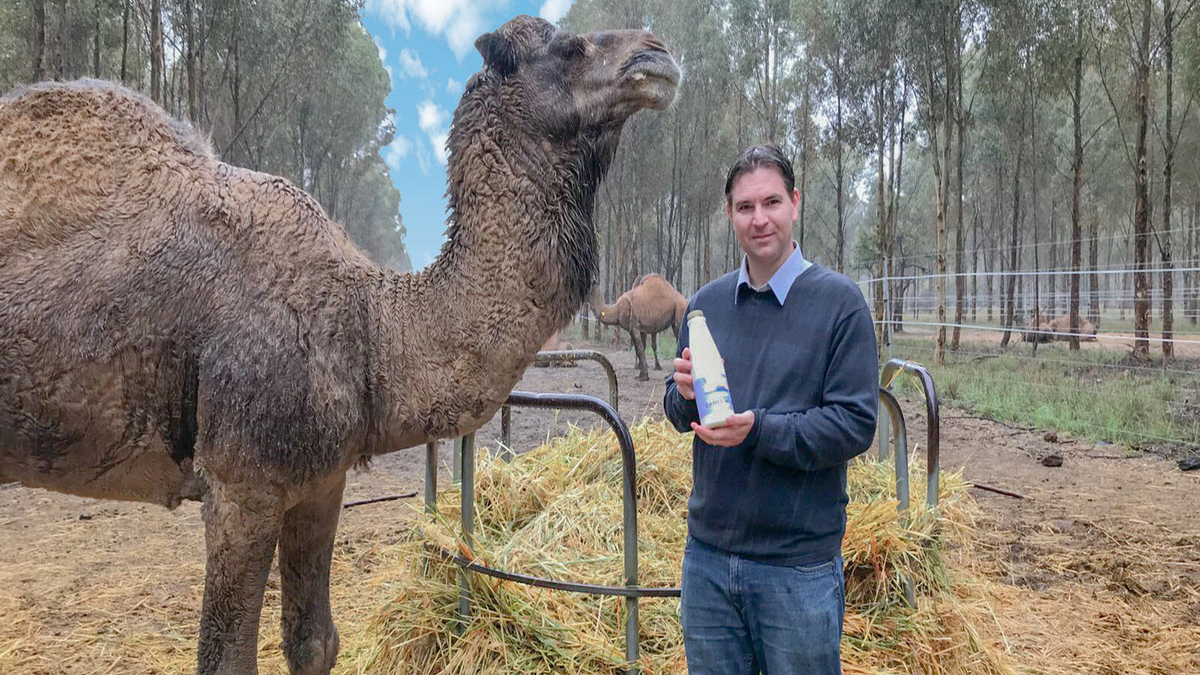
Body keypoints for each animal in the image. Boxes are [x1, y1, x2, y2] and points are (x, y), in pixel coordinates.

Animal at [0, 15, 678, 675]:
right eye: (569, 46)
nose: (659, 53)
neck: (369, 325)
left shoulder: (321, 482)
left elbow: (314, 641)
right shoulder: (239, 487)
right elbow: (227, 659)